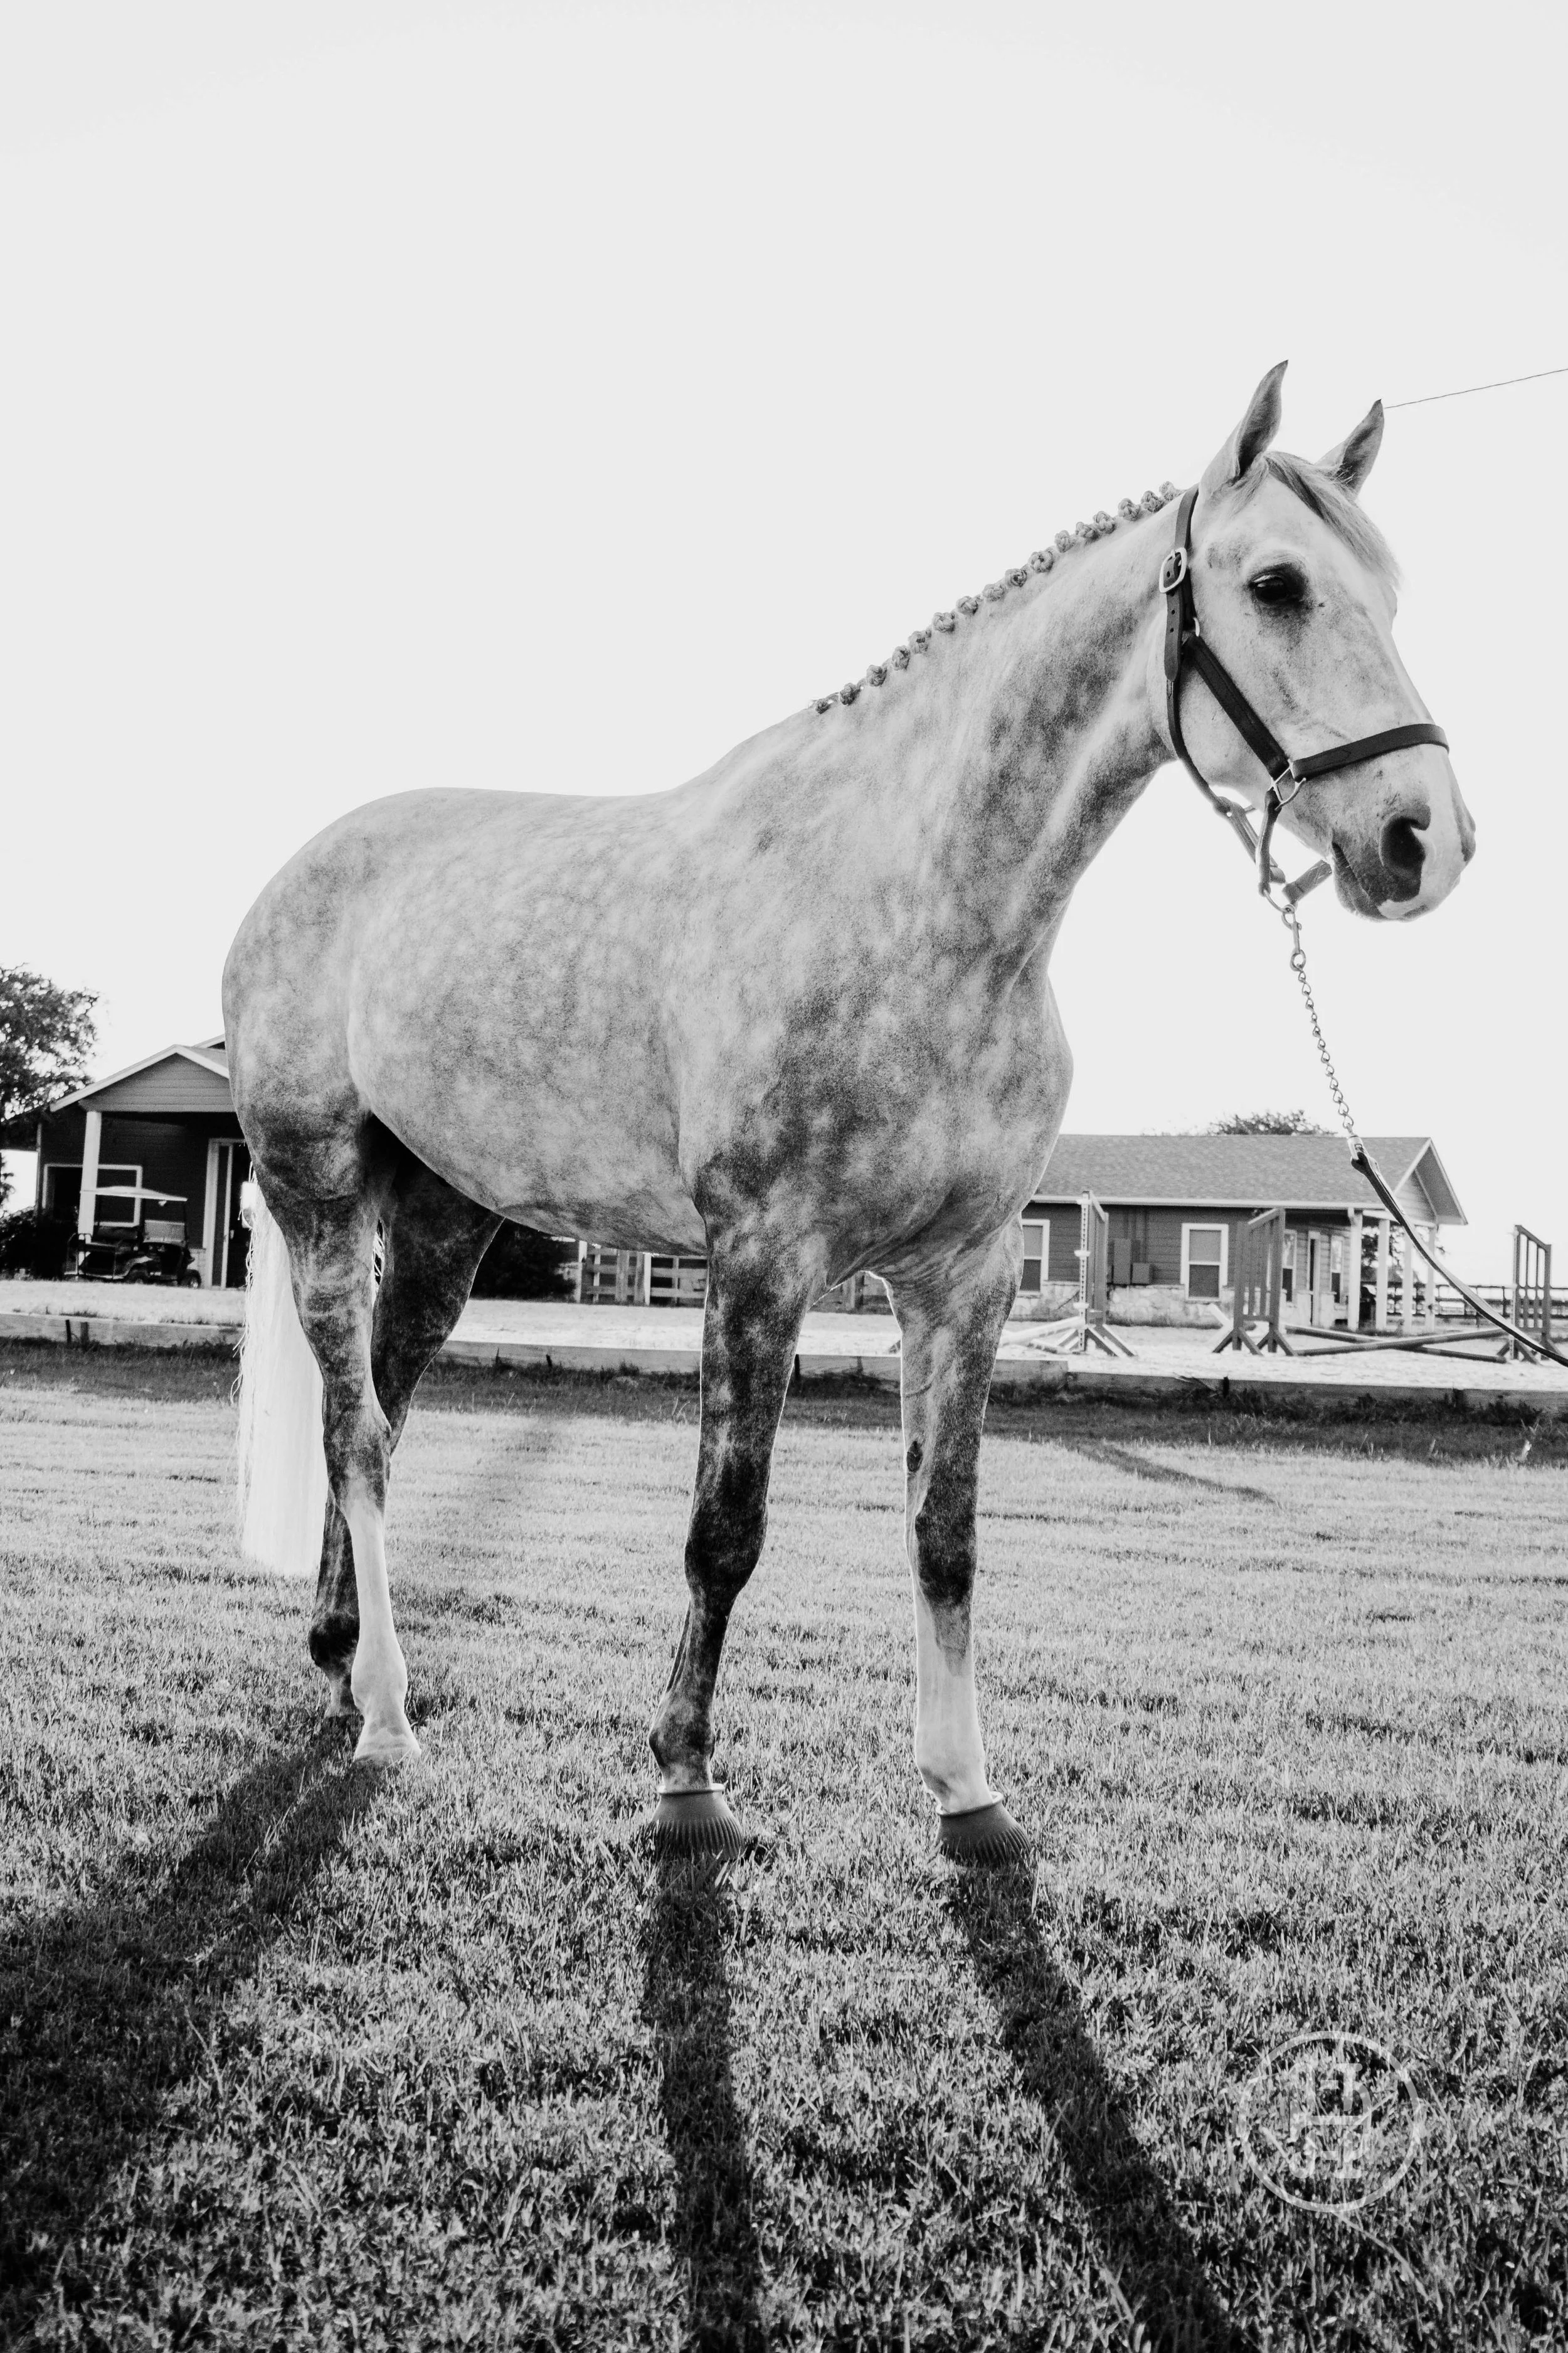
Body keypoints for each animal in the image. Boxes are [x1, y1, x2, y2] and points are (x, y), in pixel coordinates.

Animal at [224, 362, 1474, 1860]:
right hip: (314, 1192)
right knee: (354, 1430)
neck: (922, 907)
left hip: (442, 1221)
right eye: (1278, 583)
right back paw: (386, 1713)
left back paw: (341, 1653)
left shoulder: (966, 1277)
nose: (1422, 841)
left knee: (388, 1407)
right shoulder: (762, 1261)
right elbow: (726, 1528)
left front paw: (966, 1790)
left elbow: (946, 1531)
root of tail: (296, 876)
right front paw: (686, 1778)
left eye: (1391, 592)